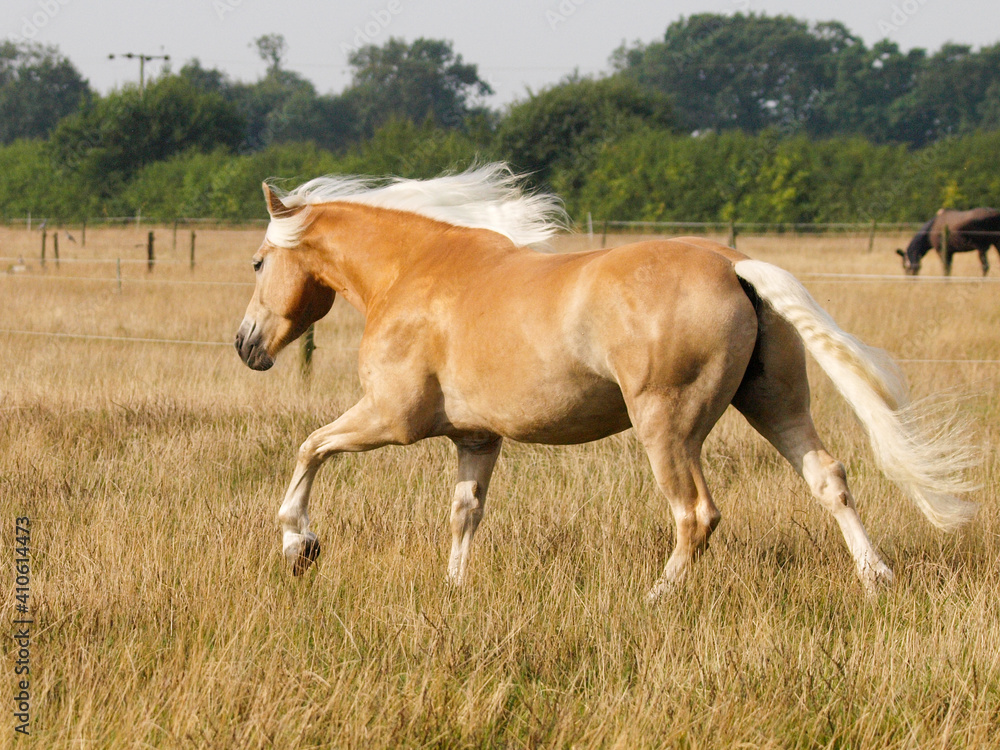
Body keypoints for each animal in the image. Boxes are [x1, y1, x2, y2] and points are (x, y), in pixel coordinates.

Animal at [235, 164, 976, 600]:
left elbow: (309, 448)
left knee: (695, 513)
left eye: (259, 261)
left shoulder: (390, 419)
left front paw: (299, 547)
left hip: (667, 427)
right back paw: (876, 579)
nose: (246, 346)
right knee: (830, 478)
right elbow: (464, 513)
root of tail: (733, 265)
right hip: (775, 403)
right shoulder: (476, 439)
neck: (413, 272)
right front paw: (454, 592)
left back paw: (658, 598)